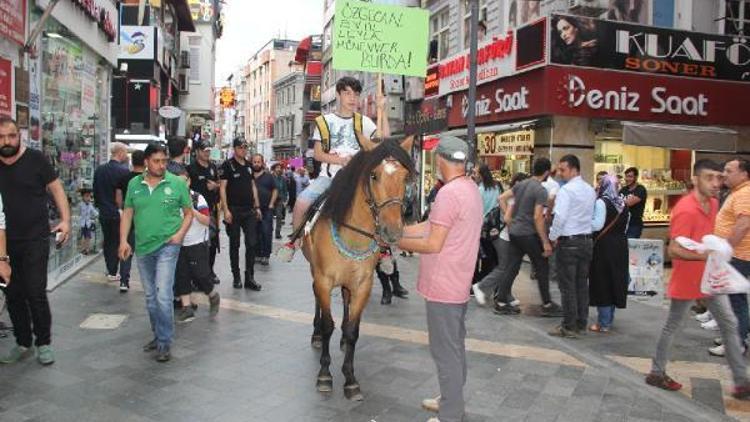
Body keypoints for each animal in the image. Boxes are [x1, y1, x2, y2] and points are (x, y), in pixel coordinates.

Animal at [302, 136, 418, 402]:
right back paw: (316, 335)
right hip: (315, 272)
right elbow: (328, 325)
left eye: (405, 177)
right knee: (317, 300)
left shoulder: (363, 284)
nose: (392, 232)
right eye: (374, 175)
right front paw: (325, 375)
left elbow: (353, 329)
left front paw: (350, 379)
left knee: (345, 303)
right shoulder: (324, 280)